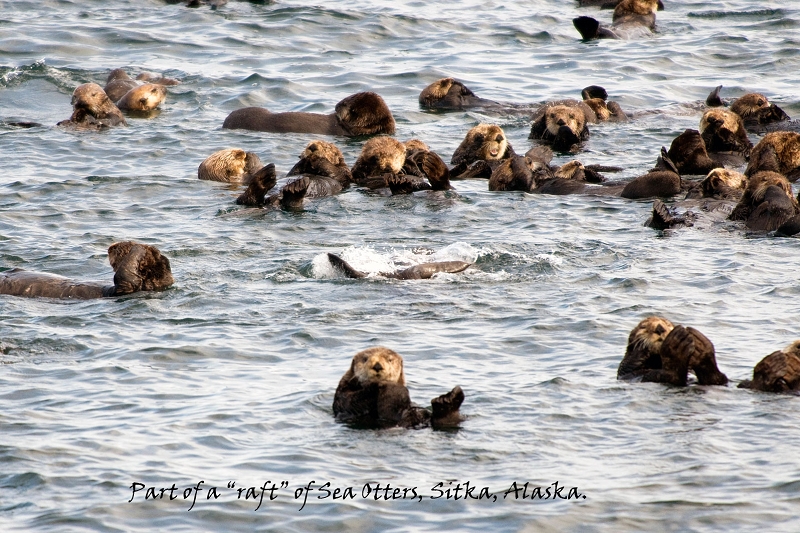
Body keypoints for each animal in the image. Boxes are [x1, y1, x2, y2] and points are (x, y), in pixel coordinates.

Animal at [332, 344, 466, 428]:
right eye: (365, 359)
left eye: (390, 360)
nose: (377, 365)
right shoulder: (342, 395)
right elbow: (353, 401)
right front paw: (383, 384)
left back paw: (450, 399)